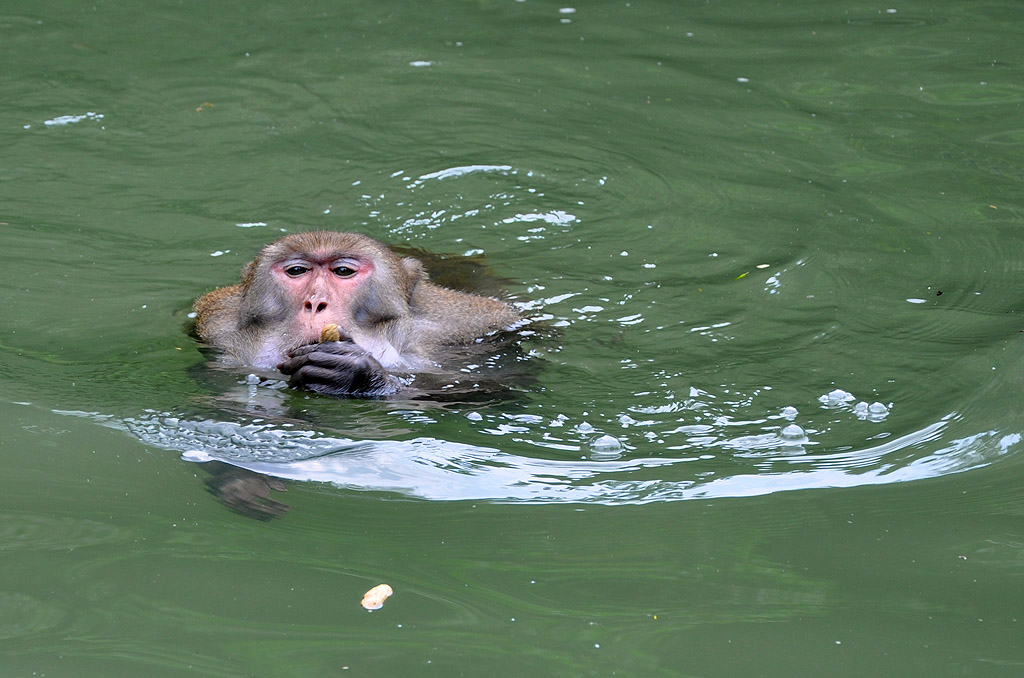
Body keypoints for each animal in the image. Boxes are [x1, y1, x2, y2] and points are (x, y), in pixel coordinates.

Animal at [194, 232, 524, 399]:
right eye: (297, 271)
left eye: (343, 271)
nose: (316, 302)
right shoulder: (218, 325)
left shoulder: (469, 326)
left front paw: (357, 374)